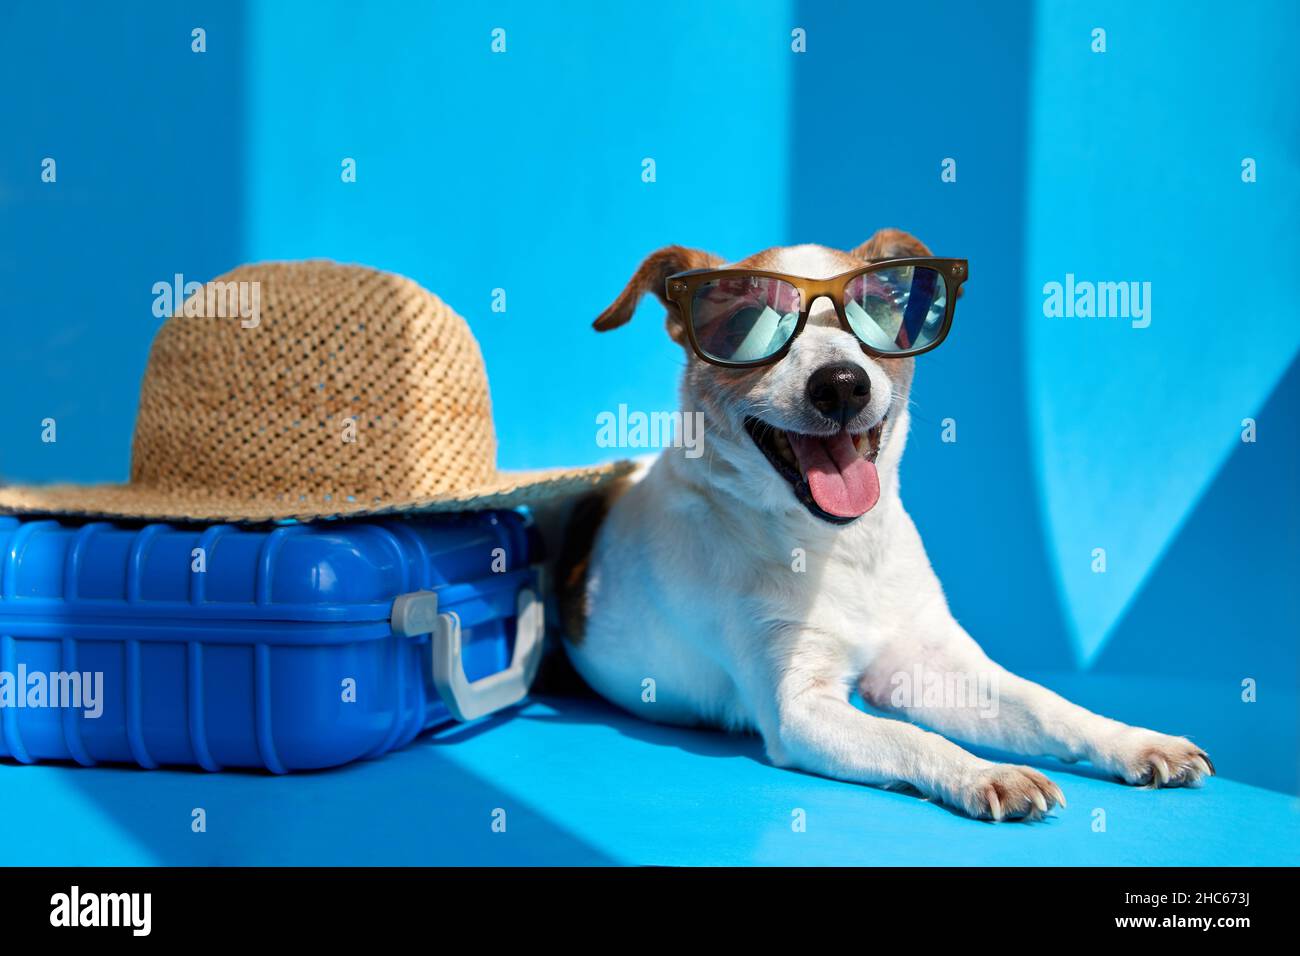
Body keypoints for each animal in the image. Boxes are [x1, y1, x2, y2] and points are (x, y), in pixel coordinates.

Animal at [556, 231, 1206, 822]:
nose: (842, 383)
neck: (839, 547)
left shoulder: (931, 665)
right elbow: (910, 736)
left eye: (876, 314)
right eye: (745, 322)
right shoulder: (800, 708)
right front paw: (983, 773)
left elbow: (1045, 704)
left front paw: (1133, 740)